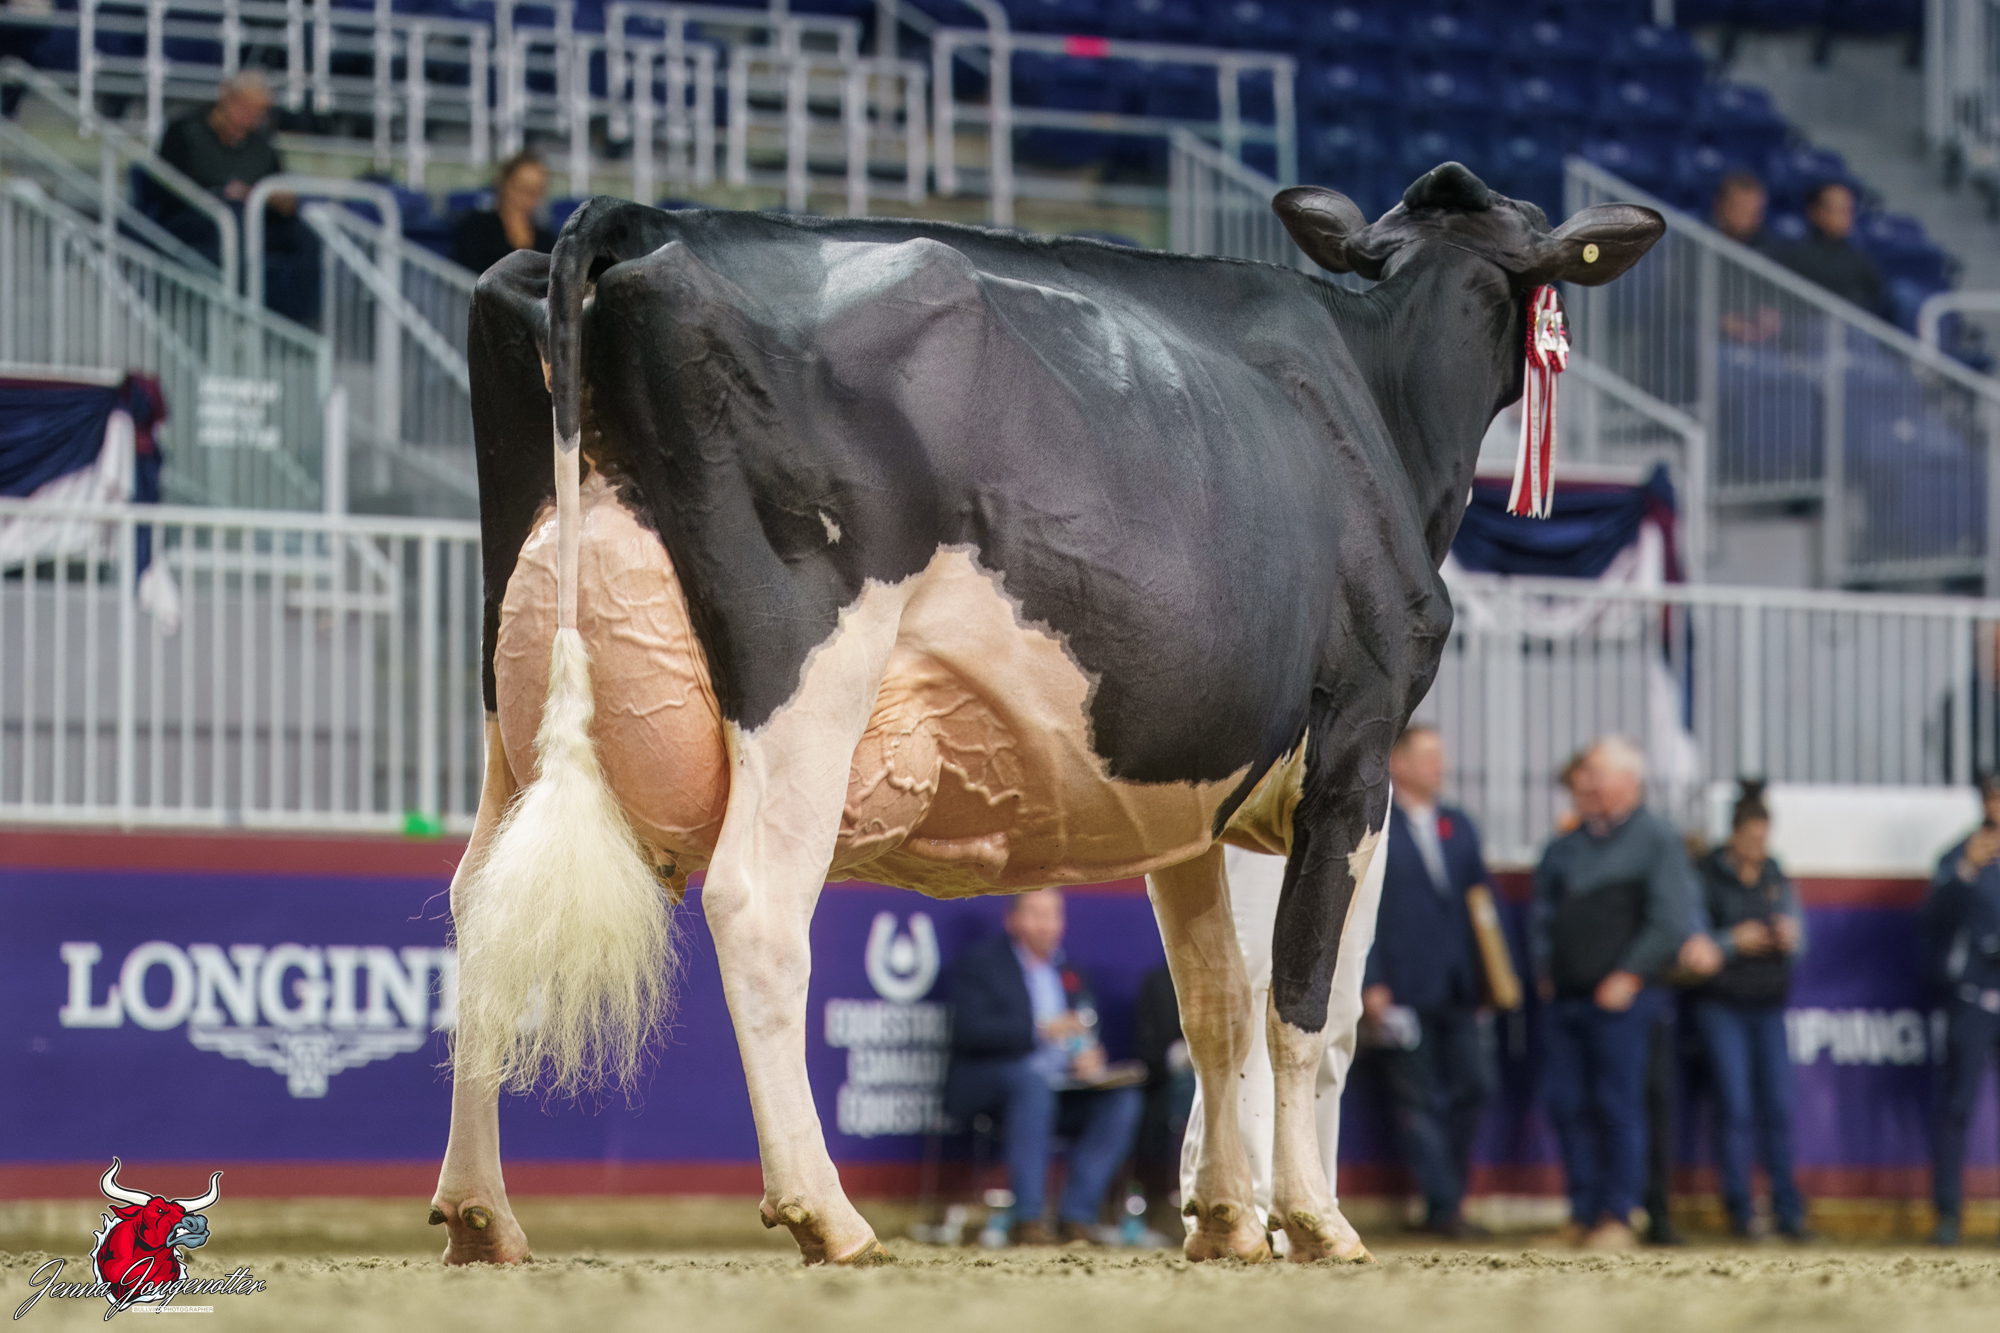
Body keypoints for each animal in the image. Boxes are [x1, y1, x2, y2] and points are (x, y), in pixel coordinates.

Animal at [427, 161, 1663, 1267]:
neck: (1378, 406)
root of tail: (639, 218)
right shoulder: (1358, 752)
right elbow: (1312, 1006)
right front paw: (1313, 1220)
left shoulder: (1195, 789)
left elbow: (1216, 999)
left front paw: (1225, 1218)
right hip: (805, 678)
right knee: (757, 905)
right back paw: (828, 1214)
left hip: (508, 684)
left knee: (480, 901)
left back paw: (483, 1216)